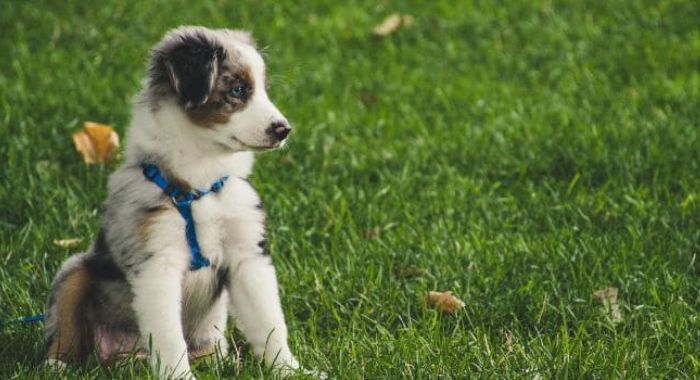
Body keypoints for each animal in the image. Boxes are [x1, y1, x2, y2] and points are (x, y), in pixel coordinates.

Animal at [44, 26, 304, 378]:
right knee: (64, 326)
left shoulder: (247, 255)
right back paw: (56, 364)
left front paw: (290, 370)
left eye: (264, 90)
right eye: (238, 90)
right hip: (74, 271)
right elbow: (168, 336)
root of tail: (126, 355)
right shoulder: (157, 262)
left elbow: (269, 321)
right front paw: (178, 375)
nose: (284, 130)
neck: (200, 183)